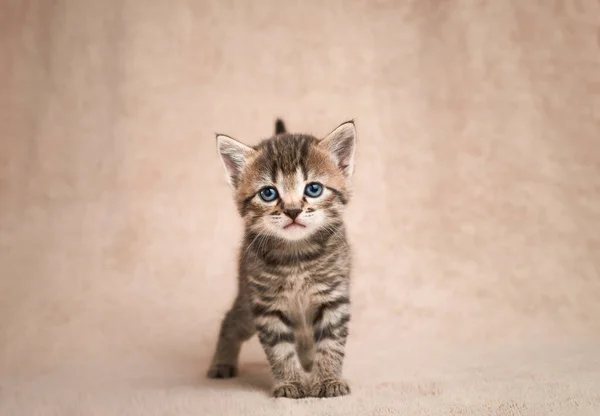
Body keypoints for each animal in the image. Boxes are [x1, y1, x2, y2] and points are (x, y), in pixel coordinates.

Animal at [206, 118, 356, 398]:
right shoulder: (267, 305)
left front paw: (328, 379)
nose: (293, 210)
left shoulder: (332, 297)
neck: (297, 255)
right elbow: (280, 349)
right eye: (268, 193)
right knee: (231, 320)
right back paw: (221, 364)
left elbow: (330, 342)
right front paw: (290, 383)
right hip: (247, 304)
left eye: (314, 189)